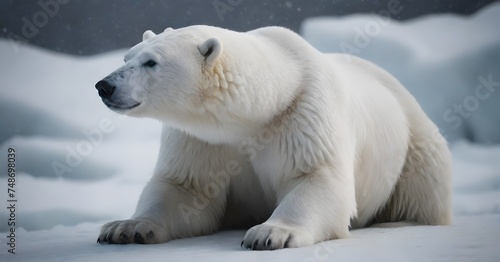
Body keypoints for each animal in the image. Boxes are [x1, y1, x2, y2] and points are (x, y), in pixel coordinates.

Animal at [94, 25, 454, 250]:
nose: (104, 85)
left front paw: (270, 234)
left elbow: (315, 177)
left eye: (151, 62)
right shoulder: (202, 139)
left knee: (423, 192)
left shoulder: (303, 115)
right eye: (127, 57)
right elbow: (186, 187)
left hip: (414, 144)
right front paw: (125, 228)